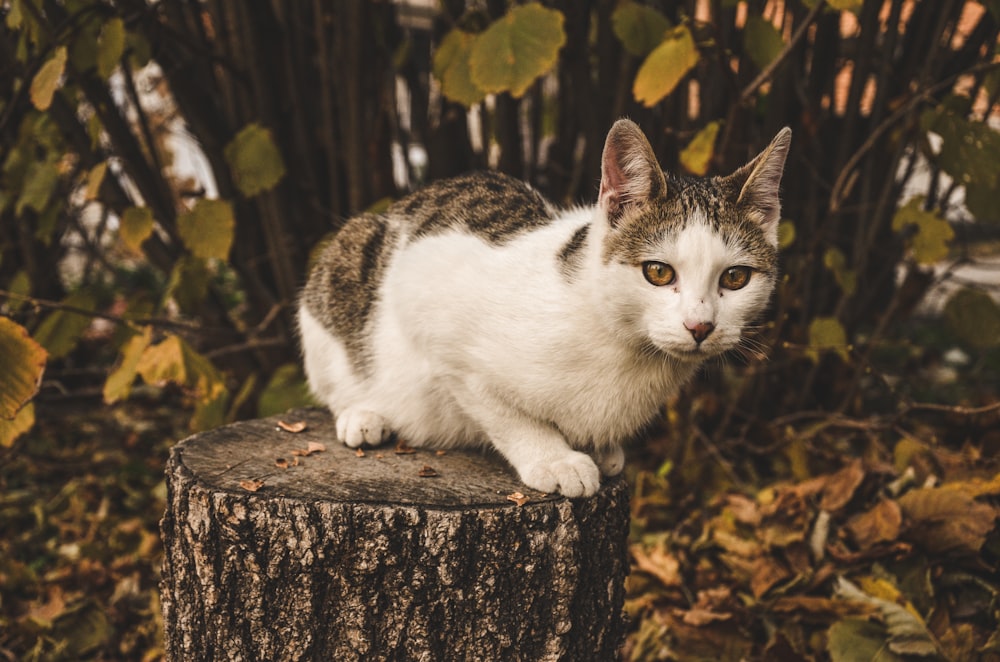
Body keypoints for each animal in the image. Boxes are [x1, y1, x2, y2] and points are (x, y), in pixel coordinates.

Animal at [296, 119, 788, 498]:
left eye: (735, 278)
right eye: (658, 272)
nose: (700, 326)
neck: (621, 345)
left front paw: (599, 447)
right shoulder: (437, 318)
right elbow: (505, 413)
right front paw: (553, 458)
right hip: (344, 264)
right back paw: (363, 414)